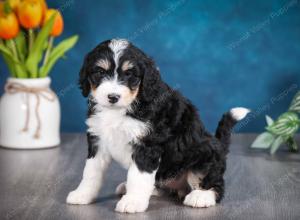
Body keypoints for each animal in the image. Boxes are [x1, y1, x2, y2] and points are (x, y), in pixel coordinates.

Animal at [67, 39, 250, 213]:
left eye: (130, 74)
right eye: (99, 72)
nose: (113, 97)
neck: (123, 108)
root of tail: (219, 145)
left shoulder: (147, 144)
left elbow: (138, 176)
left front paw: (133, 202)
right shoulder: (98, 140)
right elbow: (91, 172)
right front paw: (82, 194)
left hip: (205, 156)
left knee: (215, 185)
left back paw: (201, 196)